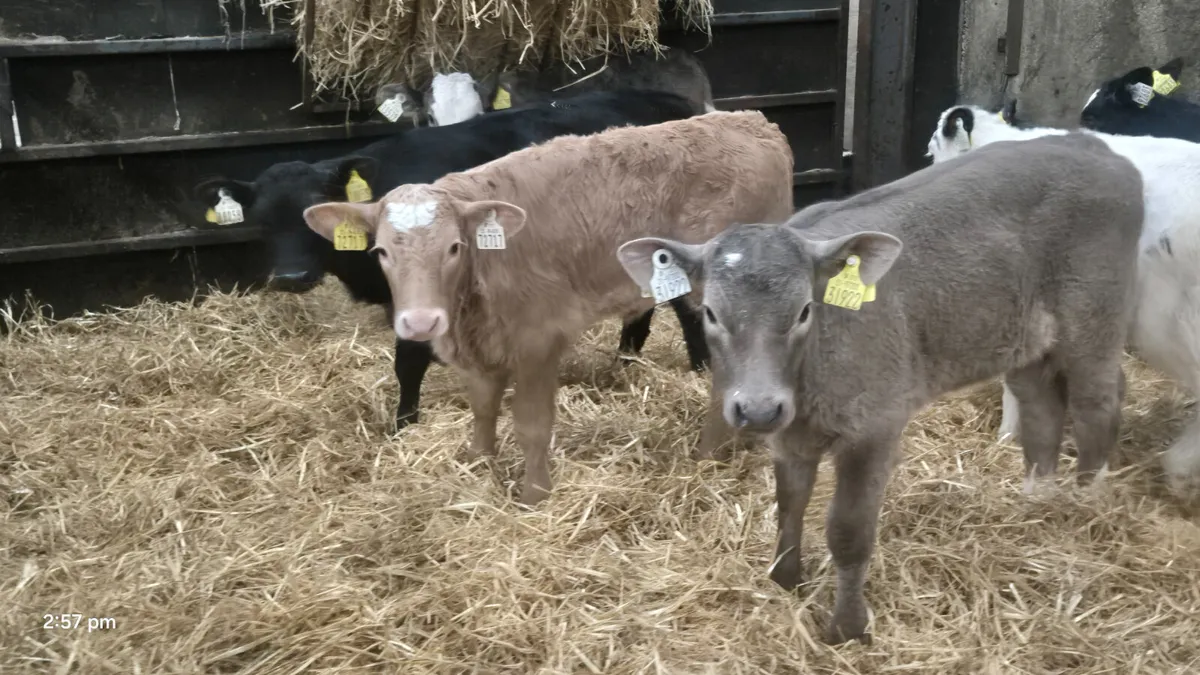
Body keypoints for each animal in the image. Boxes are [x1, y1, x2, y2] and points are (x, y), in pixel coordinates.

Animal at [195, 89, 713, 430]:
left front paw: (404, 424)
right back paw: (626, 362)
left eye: (312, 212)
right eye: (262, 220)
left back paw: (700, 369)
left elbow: (408, 362)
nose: (292, 276)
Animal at [300, 110, 795, 505]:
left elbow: (532, 424)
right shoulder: (481, 349)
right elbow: (483, 409)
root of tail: (752, 121)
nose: (421, 321)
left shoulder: (539, 340)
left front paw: (534, 495)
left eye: (454, 247)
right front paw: (478, 464)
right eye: (381, 251)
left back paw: (709, 452)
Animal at [617, 133, 1144, 644]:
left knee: (1097, 402)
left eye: (804, 311)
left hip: (1094, 318)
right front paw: (785, 581)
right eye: (710, 312)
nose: (759, 409)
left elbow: (848, 532)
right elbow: (789, 504)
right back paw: (1037, 499)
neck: (810, 376)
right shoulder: (790, 435)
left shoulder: (874, 427)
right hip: (1026, 340)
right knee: (1040, 408)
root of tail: (1091, 145)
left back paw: (1086, 504)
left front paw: (847, 630)